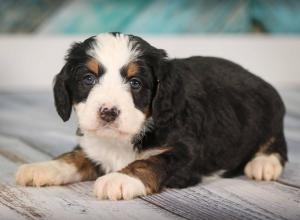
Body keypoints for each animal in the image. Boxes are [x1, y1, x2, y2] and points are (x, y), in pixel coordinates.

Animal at [15, 33, 288, 201]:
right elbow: (74, 157)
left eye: (135, 83)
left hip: (269, 114)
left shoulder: (184, 152)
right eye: (88, 79)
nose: (108, 112)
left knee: (276, 143)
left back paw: (264, 163)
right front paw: (44, 167)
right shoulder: (94, 147)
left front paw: (119, 178)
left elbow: (150, 162)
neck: (121, 139)